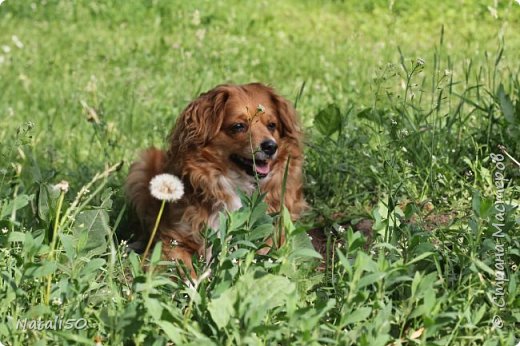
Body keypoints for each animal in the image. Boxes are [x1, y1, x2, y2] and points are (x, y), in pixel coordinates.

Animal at [125, 82, 304, 278]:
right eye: (239, 126)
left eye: (272, 125)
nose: (271, 146)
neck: (236, 185)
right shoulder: (172, 241)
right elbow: (185, 270)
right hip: (142, 168)